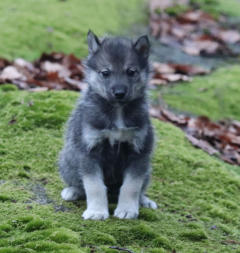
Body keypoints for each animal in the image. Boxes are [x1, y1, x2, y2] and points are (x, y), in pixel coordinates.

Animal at [58, 31, 157, 219]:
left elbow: (131, 186)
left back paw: (145, 200)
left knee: (140, 189)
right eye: (105, 72)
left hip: (147, 171)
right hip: (68, 160)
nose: (119, 93)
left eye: (131, 71)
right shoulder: (90, 150)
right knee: (78, 184)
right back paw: (72, 191)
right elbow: (94, 186)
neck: (117, 111)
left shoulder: (138, 152)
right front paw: (97, 212)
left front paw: (127, 209)